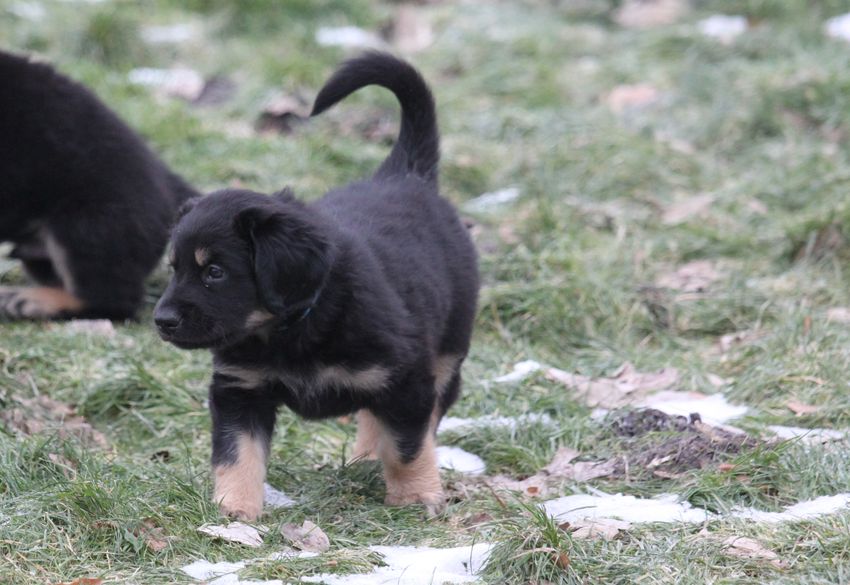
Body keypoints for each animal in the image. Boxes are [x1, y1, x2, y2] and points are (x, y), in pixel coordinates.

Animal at [154, 52, 479, 520]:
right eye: (174, 268)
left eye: (214, 272)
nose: (161, 321)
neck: (292, 328)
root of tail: (406, 175)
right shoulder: (240, 388)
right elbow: (237, 454)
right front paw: (233, 512)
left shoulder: (408, 378)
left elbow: (408, 445)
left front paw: (415, 497)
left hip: (446, 356)